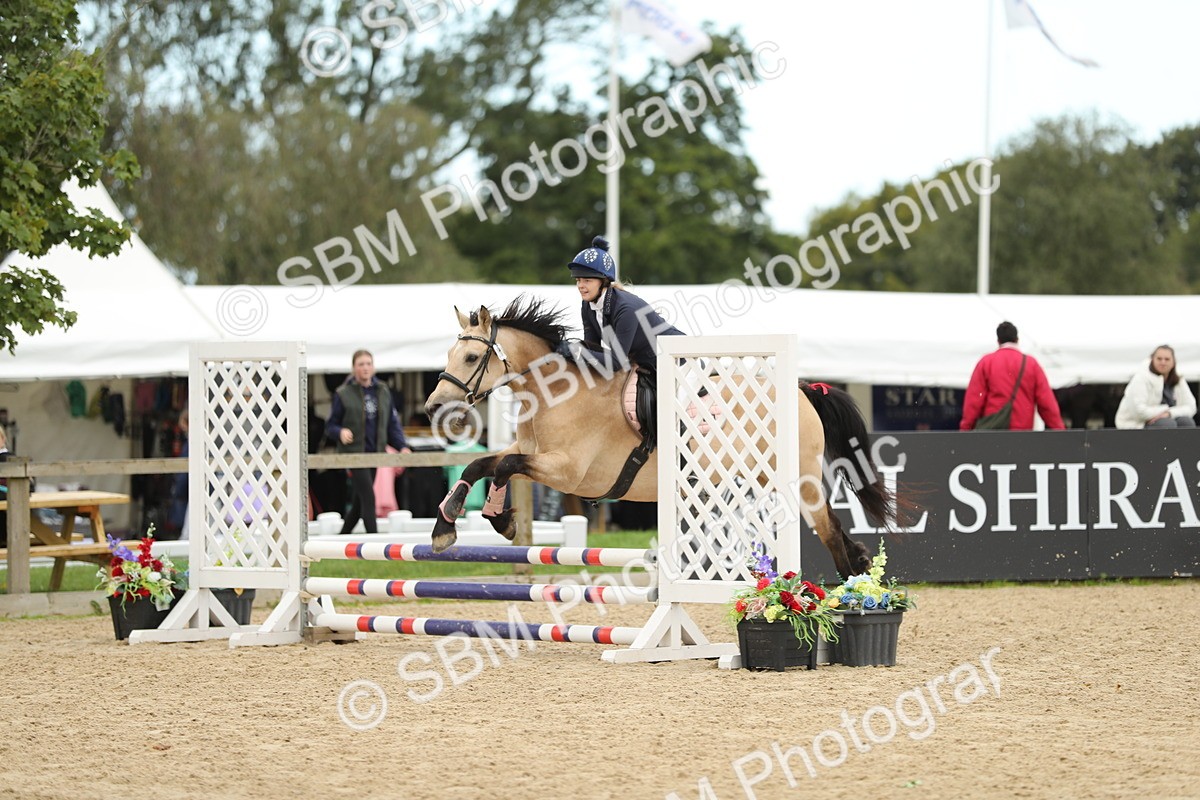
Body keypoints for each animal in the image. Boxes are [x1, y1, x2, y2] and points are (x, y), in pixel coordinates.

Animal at [423, 295, 903, 579]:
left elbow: (503, 466)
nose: (433, 408)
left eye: (471, 357)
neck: (555, 392)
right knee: (834, 526)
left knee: (828, 529)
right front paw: (453, 525)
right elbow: (482, 464)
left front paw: (494, 520)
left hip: (796, 481)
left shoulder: (570, 473)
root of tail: (804, 390)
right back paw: (859, 568)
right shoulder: (532, 454)